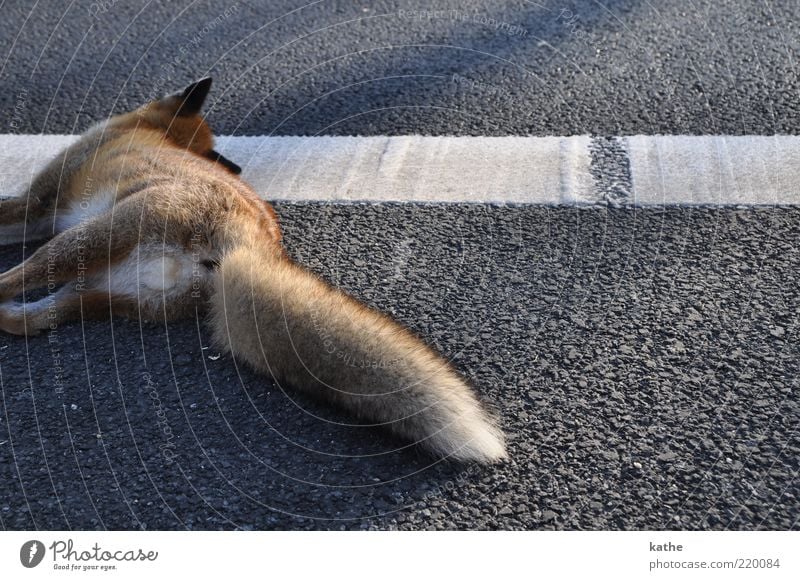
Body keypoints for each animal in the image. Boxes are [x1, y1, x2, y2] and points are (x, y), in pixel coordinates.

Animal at [0, 79, 506, 464]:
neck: (149, 130)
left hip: (83, 241)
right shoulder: (43, 217)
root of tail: (253, 242)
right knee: (25, 319)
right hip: (100, 287)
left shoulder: (39, 206)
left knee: (12, 287)